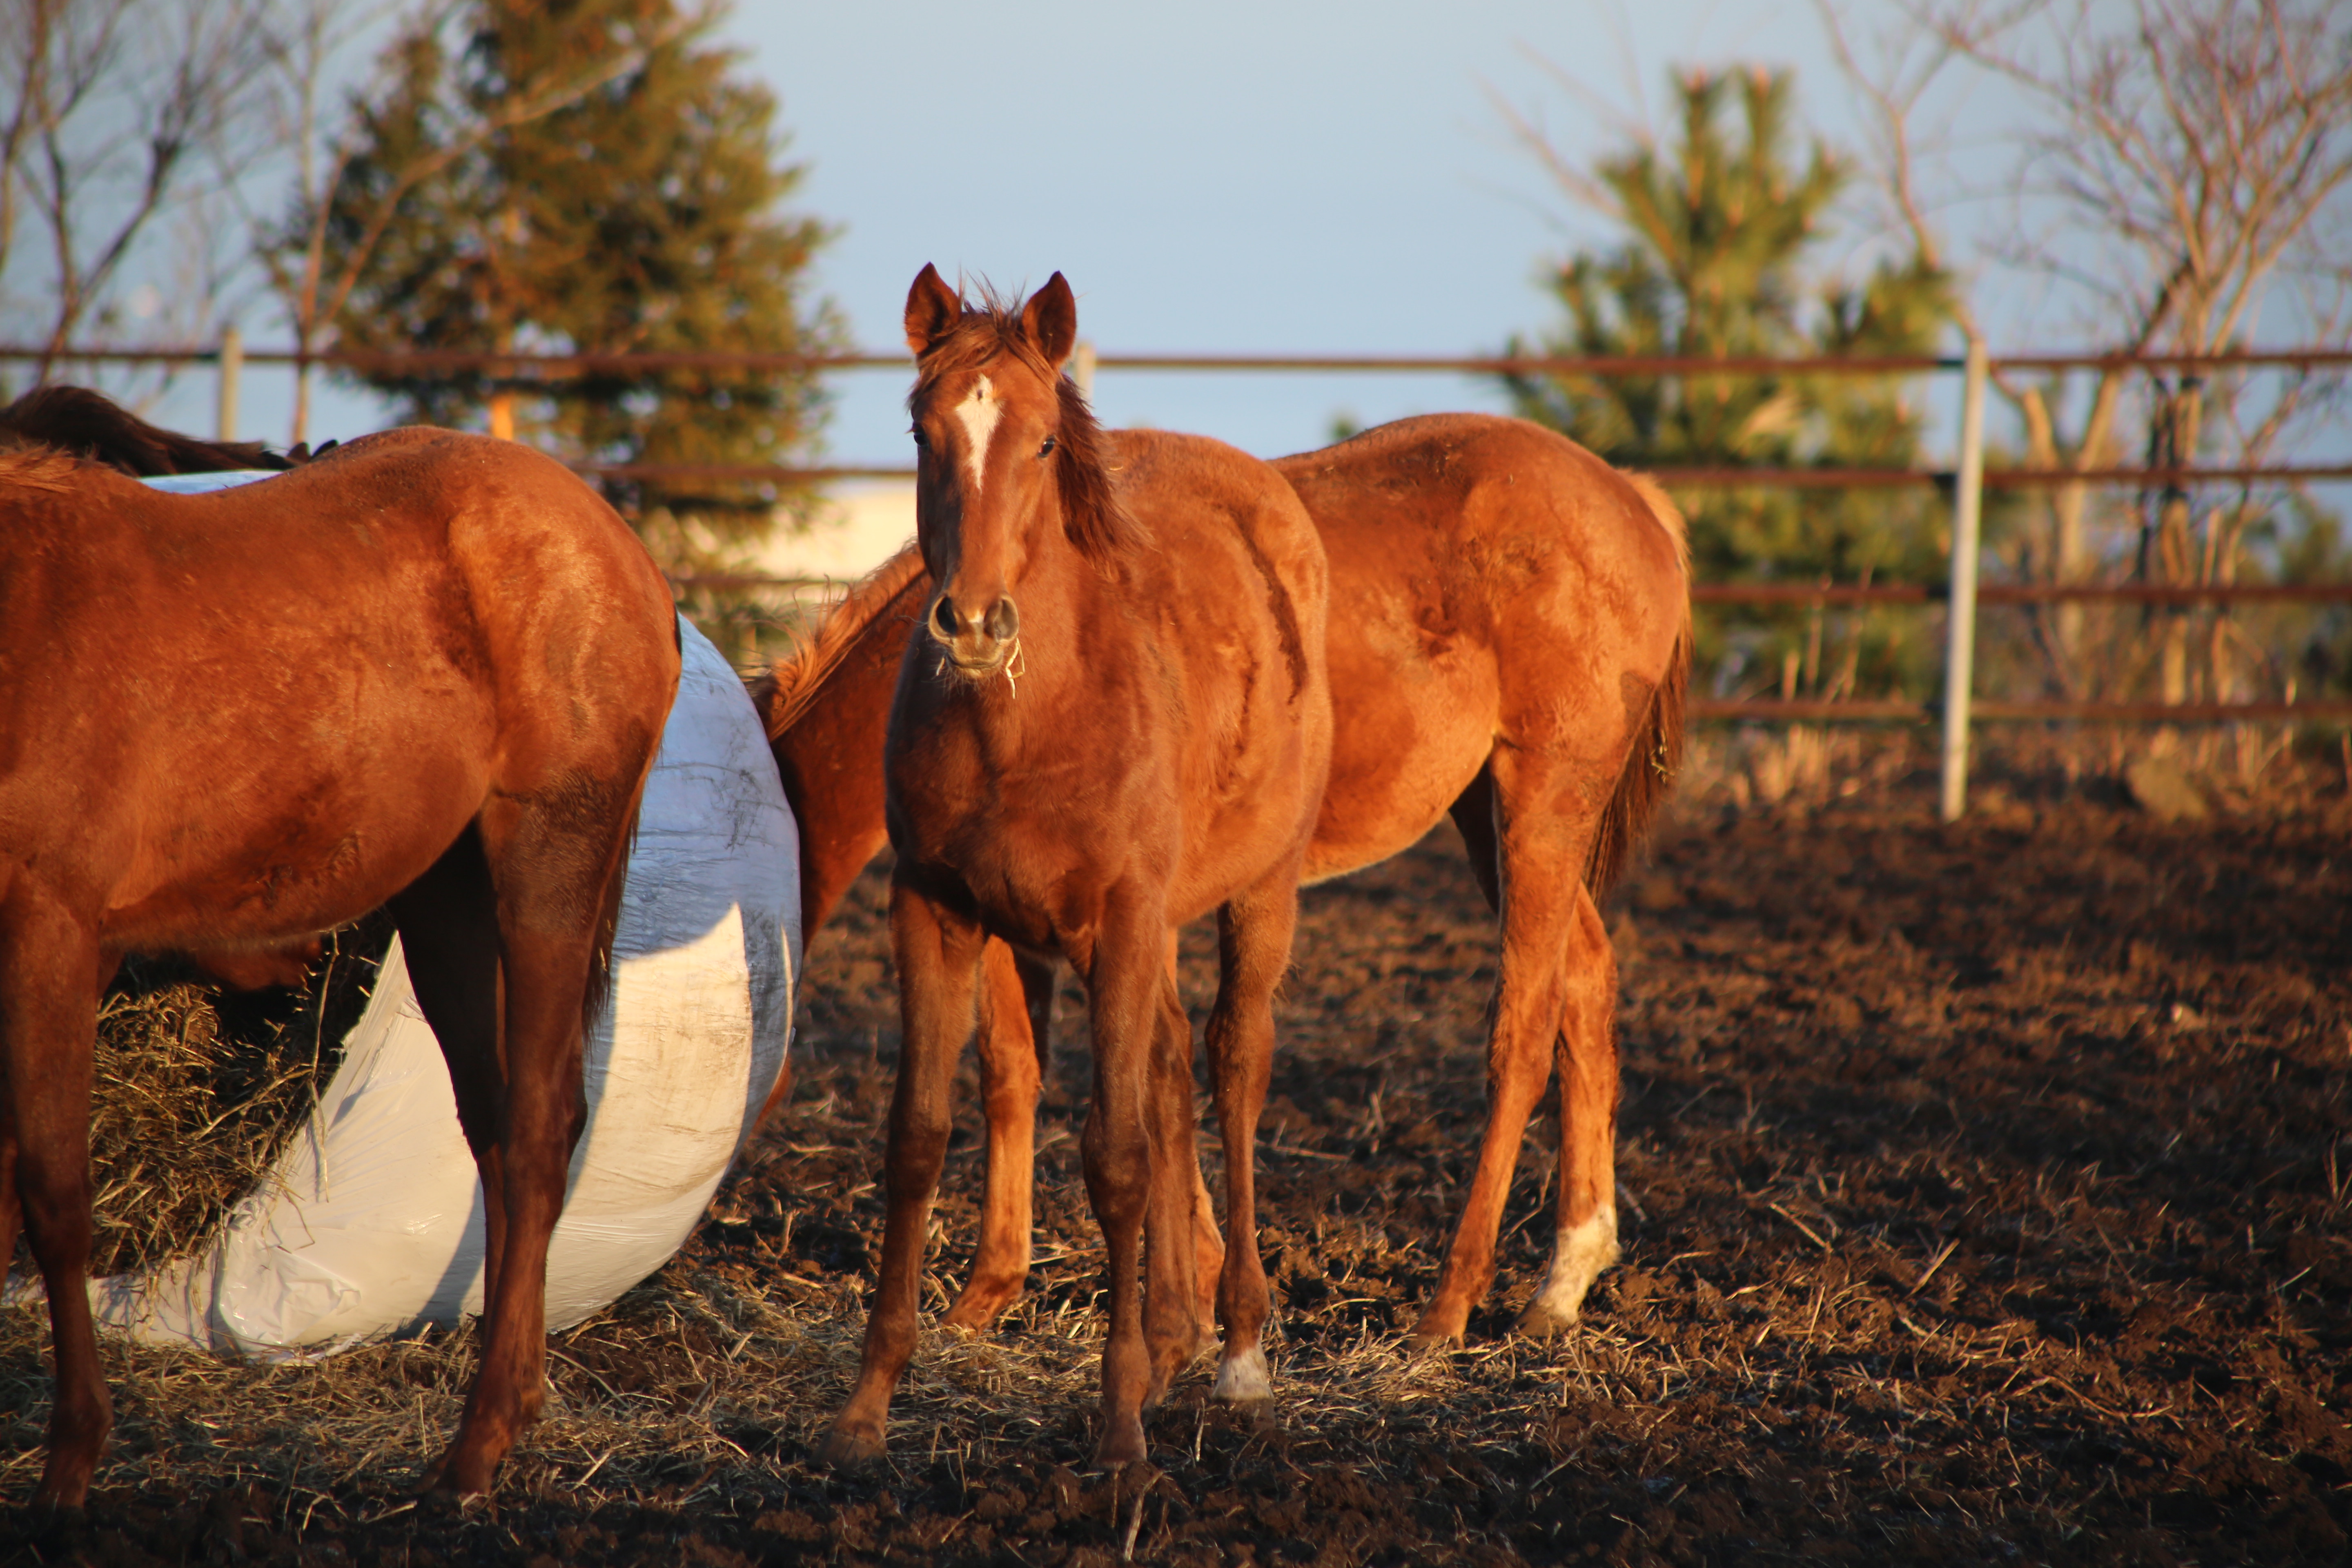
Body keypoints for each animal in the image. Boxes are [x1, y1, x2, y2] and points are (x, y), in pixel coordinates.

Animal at [0, 423, 682, 1504]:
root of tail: (626, 554)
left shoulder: (52, 933)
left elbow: (55, 1191)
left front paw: (71, 1462)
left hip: (547, 864)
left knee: (540, 1128)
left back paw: (479, 1445)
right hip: (447, 903)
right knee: (496, 1129)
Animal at [757, 414, 1693, 1354]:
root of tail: (1634, 501)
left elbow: (1111, 1065)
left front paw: (1183, 1288)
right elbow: (1024, 1067)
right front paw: (999, 1291)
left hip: (1541, 805)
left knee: (1524, 1032)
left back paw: (1449, 1306)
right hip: (1488, 818)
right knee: (1587, 984)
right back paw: (1564, 1279)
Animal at [818, 270, 1336, 1476]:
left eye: (1045, 440)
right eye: (920, 429)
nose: (970, 619)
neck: (1026, 722)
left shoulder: (1123, 918)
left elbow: (1115, 1155)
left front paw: (1120, 1429)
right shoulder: (935, 910)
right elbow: (917, 1138)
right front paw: (866, 1407)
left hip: (1256, 891)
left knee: (1232, 1067)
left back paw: (1238, 1349)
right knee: (1174, 1069)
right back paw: (1179, 1332)